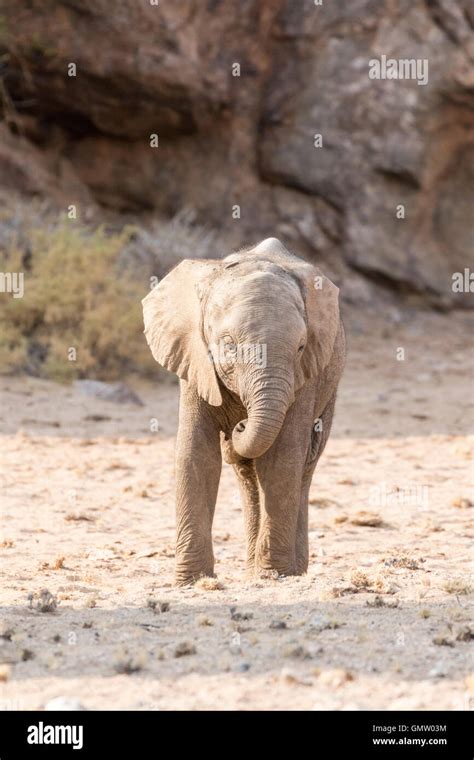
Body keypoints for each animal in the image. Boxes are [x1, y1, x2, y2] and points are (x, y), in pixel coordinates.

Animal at [141, 240, 344, 584]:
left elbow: (281, 458)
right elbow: (197, 454)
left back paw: (290, 571)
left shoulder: (305, 376)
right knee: (246, 472)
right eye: (229, 345)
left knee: (304, 464)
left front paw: (273, 575)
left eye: (301, 347)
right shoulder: (195, 360)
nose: (240, 424)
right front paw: (191, 581)